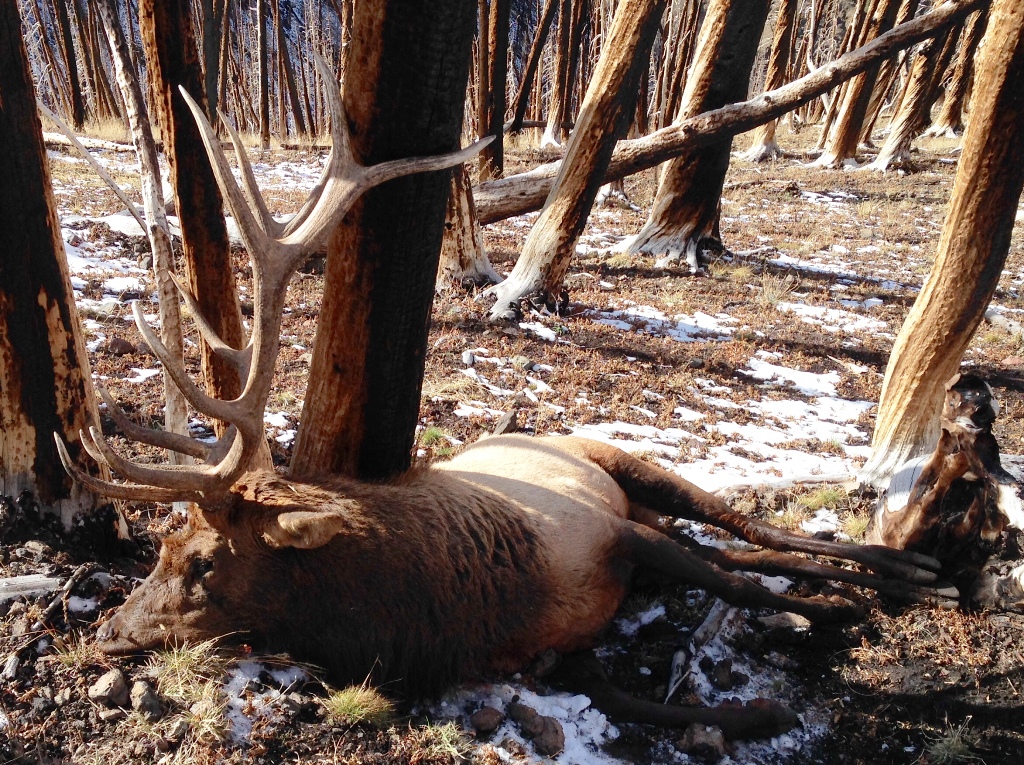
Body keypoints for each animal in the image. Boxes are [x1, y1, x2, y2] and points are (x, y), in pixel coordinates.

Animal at [56, 59, 950, 741]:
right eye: (160, 548)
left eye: (202, 561)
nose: (109, 628)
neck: (458, 610)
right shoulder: (563, 648)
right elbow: (651, 682)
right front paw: (766, 708)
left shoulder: (610, 535)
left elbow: (735, 584)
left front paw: (836, 609)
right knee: (738, 550)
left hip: (627, 464)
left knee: (749, 532)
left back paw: (908, 568)